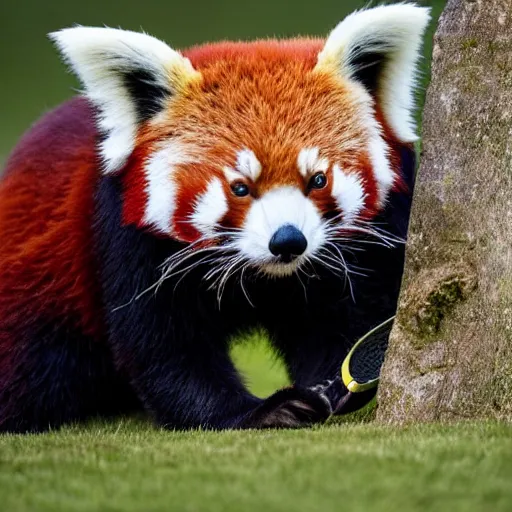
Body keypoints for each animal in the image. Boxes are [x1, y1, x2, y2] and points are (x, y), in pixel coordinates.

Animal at [0, 4, 430, 432]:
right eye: (240, 187)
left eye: (318, 180)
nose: (288, 241)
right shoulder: (126, 239)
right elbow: (164, 346)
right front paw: (260, 411)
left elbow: (351, 316)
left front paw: (335, 386)